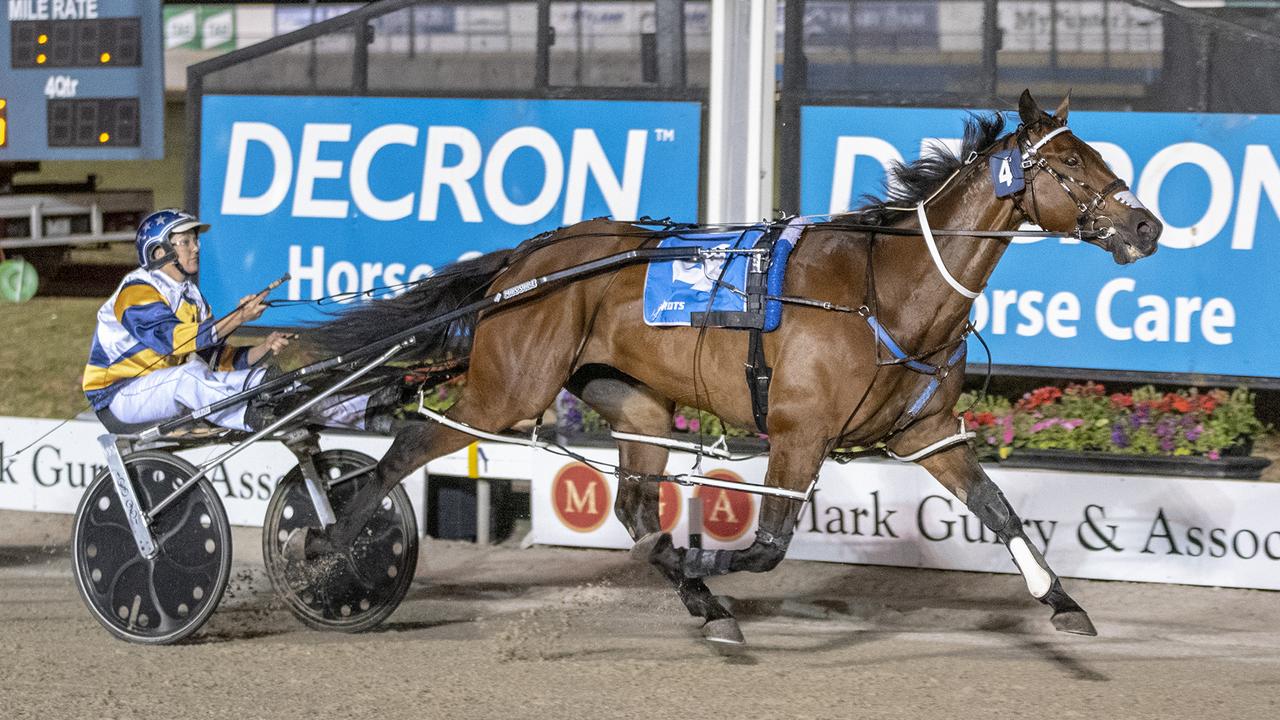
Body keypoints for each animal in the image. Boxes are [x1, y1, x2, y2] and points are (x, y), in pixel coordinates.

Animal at [307, 92, 1162, 640]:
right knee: (408, 446)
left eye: (1094, 156)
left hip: (638, 403)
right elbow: (765, 547)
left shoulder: (928, 433)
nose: (1147, 225)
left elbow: (999, 510)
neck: (886, 290)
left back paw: (701, 602)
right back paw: (331, 546)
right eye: (1069, 165)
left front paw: (1062, 602)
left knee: (633, 503)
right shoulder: (798, 433)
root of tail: (527, 257)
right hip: (506, 391)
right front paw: (700, 558)